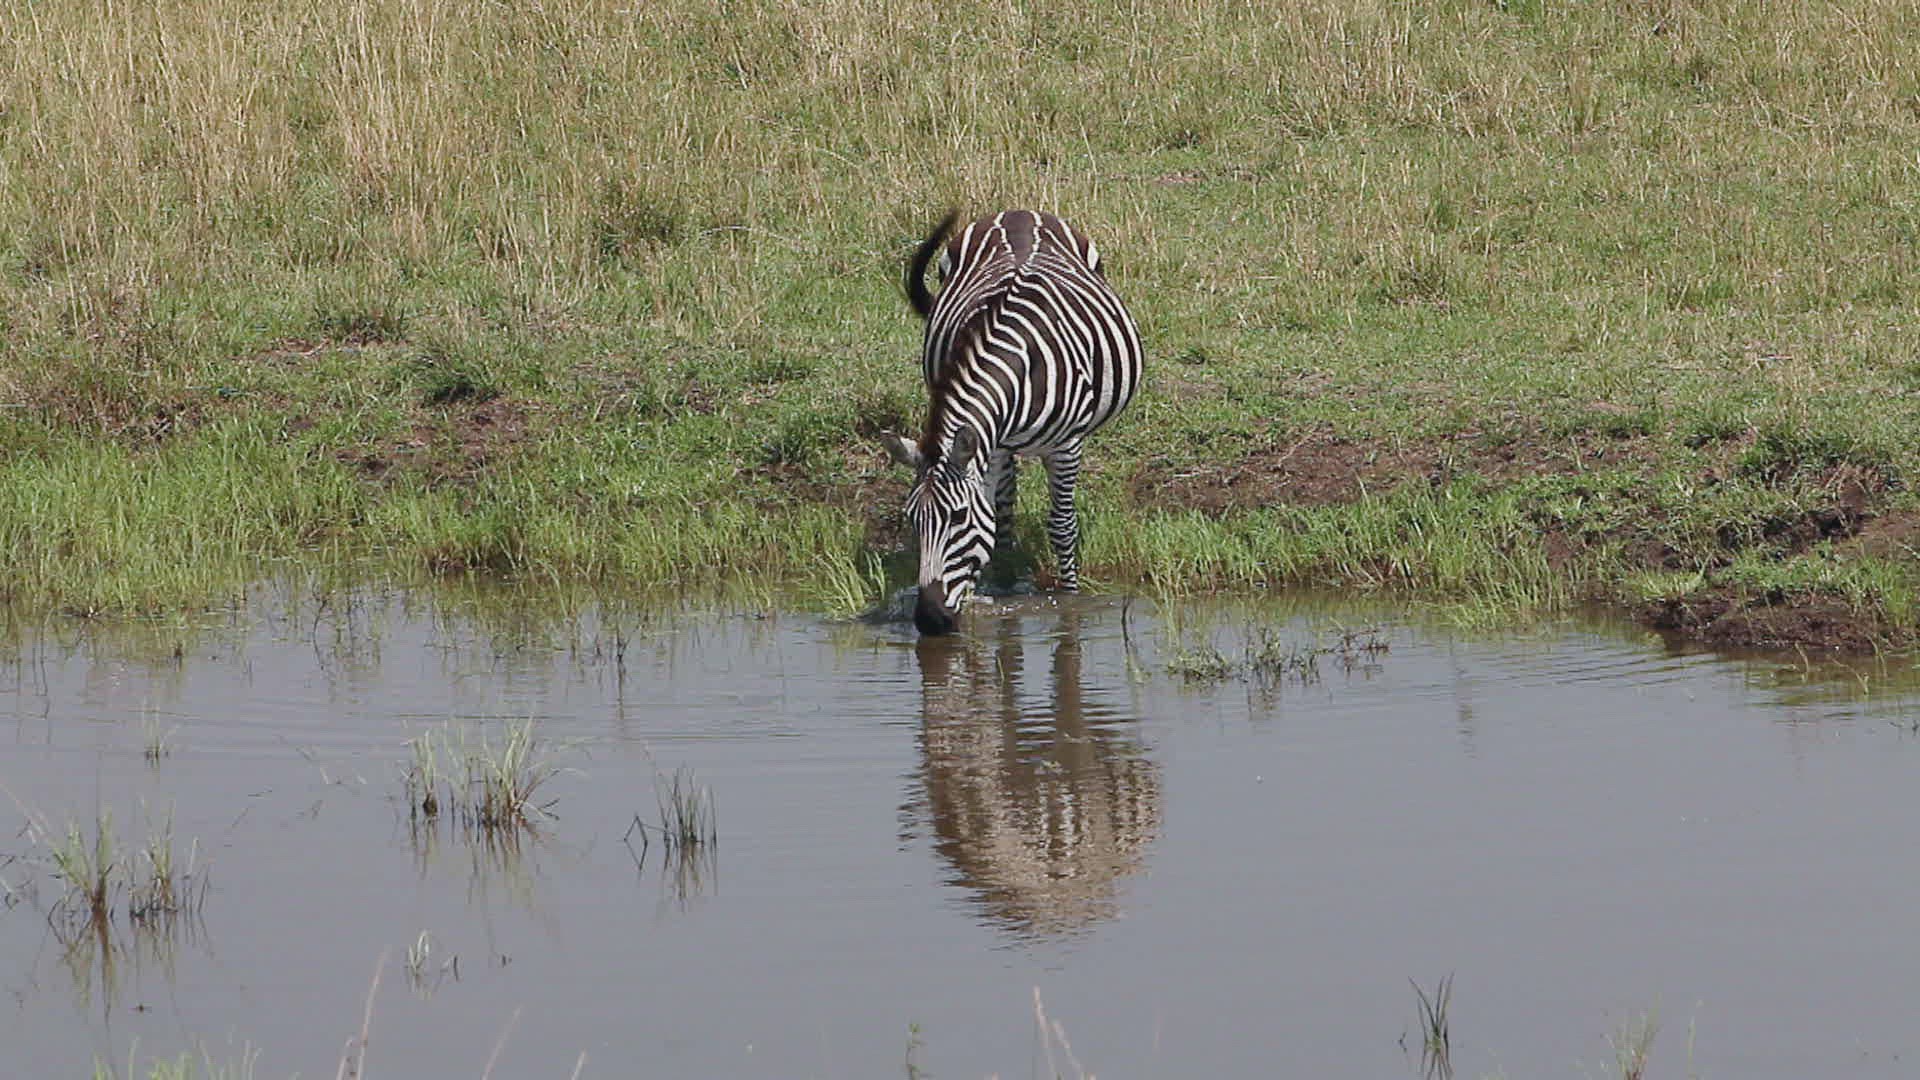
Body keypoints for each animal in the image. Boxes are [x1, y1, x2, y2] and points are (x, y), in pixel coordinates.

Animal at [882, 210, 1144, 636]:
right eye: (912, 520)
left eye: (958, 517)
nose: (930, 620)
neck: (1017, 361)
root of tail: (1018, 212)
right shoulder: (990, 444)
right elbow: (994, 521)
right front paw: (990, 595)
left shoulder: (1066, 446)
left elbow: (1062, 526)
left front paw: (1069, 601)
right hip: (1001, 448)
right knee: (1005, 513)